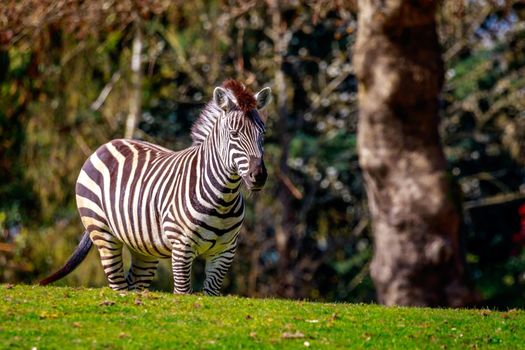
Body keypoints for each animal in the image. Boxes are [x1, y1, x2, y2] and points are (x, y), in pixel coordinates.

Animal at [37, 80, 270, 296]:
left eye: (263, 134)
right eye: (234, 134)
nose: (258, 176)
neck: (223, 200)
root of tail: (109, 143)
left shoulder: (225, 251)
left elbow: (210, 293)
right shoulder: (182, 248)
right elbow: (183, 292)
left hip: (144, 246)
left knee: (134, 283)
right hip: (102, 231)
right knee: (118, 283)